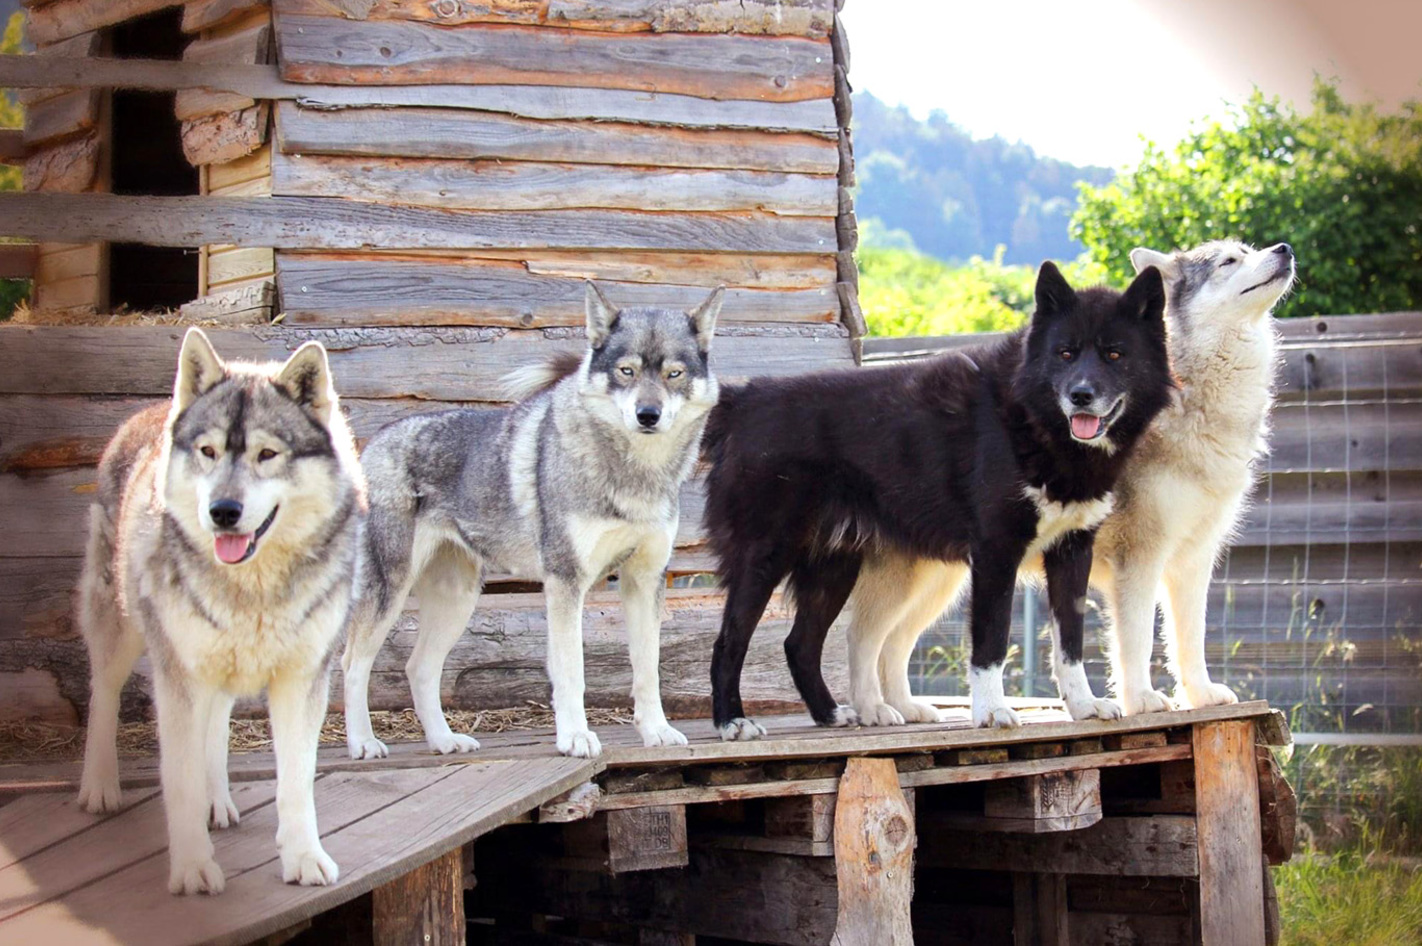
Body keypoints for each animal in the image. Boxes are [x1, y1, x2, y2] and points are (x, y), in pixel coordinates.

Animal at [75, 330, 366, 893]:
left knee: (216, 724)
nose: (223, 512)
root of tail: (150, 411)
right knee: (104, 694)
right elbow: (179, 780)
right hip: (122, 631)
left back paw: (217, 800)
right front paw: (192, 868)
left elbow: (295, 783)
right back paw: (99, 788)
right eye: (208, 451)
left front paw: (304, 858)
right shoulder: (178, 678)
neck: (251, 590)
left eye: (267, 454)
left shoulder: (301, 680)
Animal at [341, 281, 722, 762]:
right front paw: (575, 737)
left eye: (673, 374)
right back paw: (362, 742)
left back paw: (444, 740)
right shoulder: (565, 582)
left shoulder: (644, 580)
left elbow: (648, 669)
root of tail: (373, 443)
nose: (648, 415)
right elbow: (572, 671)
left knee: (419, 667)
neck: (634, 473)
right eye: (626, 371)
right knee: (352, 663)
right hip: (390, 591)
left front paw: (657, 731)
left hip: (457, 600)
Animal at [702, 260, 1177, 739]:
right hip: (764, 559)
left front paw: (1082, 706)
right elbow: (991, 642)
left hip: (834, 569)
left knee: (800, 643)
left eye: (1114, 355)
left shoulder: (1072, 551)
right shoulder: (996, 555)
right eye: (1065, 353)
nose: (1081, 395)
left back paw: (832, 714)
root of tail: (743, 400)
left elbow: (1071, 642)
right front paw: (991, 711)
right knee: (729, 641)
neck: (1030, 417)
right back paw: (732, 722)